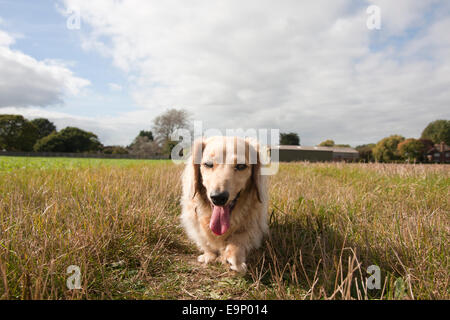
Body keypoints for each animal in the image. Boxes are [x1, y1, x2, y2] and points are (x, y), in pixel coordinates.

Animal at [181, 136, 268, 274]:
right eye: (208, 164)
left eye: (241, 166)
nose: (218, 198)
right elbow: (206, 243)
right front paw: (209, 256)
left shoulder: (254, 226)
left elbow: (240, 239)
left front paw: (234, 258)